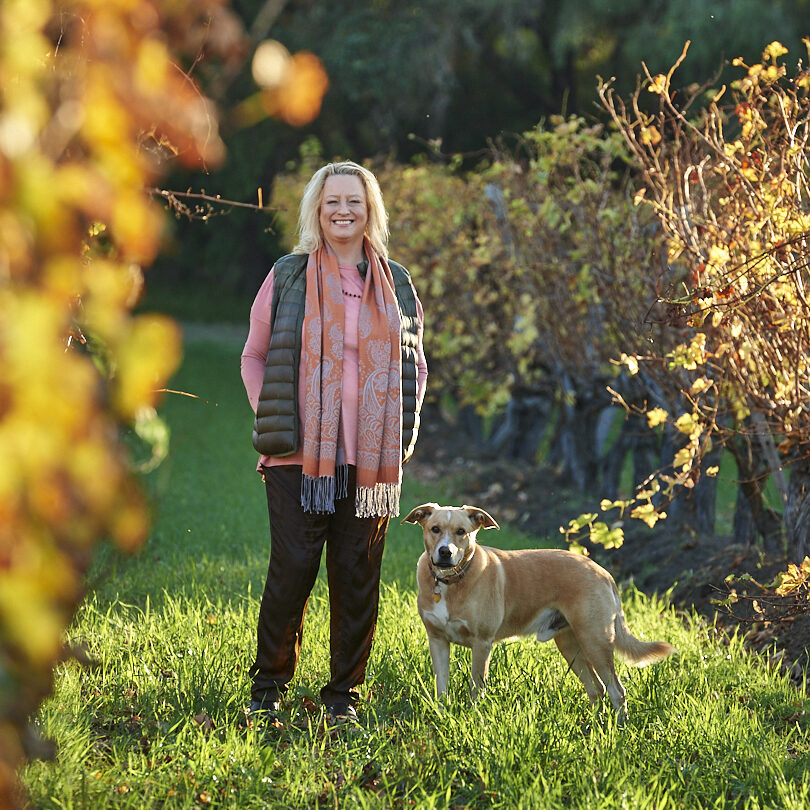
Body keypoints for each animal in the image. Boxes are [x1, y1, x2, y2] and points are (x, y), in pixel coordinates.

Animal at [404, 502, 676, 716]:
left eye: (461, 532)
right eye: (435, 529)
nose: (445, 552)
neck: (449, 582)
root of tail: (602, 571)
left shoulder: (482, 643)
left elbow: (476, 688)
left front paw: (473, 717)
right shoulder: (437, 640)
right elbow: (441, 686)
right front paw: (441, 715)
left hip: (595, 640)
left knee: (616, 691)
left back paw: (618, 729)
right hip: (570, 644)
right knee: (596, 689)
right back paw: (595, 727)